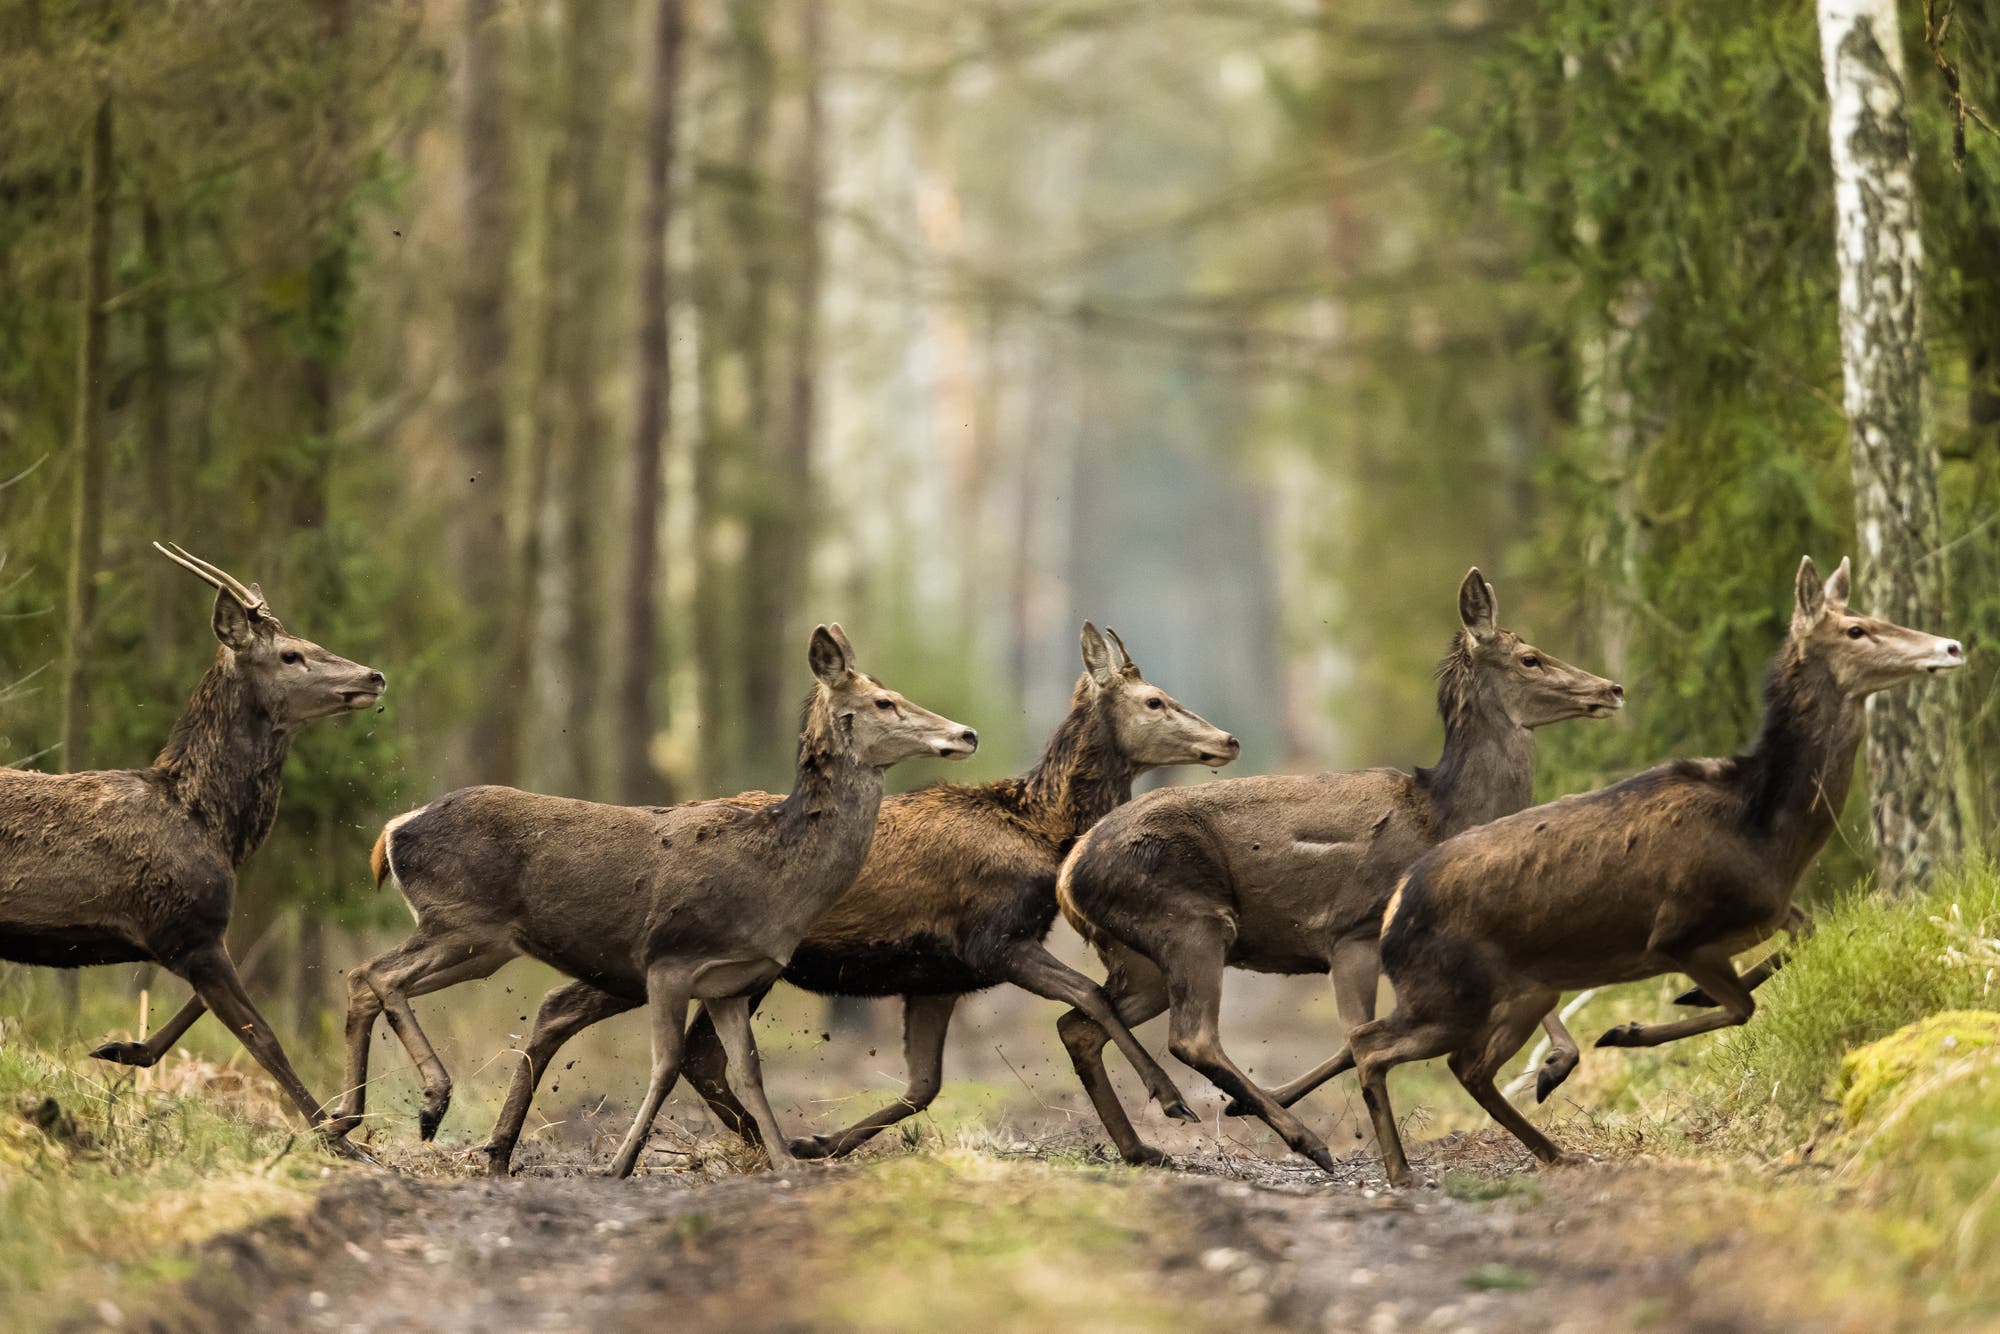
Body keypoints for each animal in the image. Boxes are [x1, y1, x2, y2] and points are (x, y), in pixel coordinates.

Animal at [7, 548, 384, 1152]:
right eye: (291, 653)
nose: (374, 675)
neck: (215, 826)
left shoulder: (192, 934)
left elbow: (205, 1011)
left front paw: (122, 1049)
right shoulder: (186, 929)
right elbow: (265, 1038)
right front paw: (339, 1135)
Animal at [338, 620, 976, 1176]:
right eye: (885, 702)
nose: (966, 733)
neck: (775, 881)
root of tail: (394, 828)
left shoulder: (728, 983)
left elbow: (748, 1073)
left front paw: (788, 1161)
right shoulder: (670, 958)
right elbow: (667, 1065)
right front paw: (619, 1166)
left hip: (481, 944)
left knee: (364, 979)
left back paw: (347, 1123)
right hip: (460, 920)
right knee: (379, 973)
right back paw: (429, 1101)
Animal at [1056, 572, 1616, 1168]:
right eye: (1530, 658)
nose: (1611, 689)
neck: (1443, 814)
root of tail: (1068, 875)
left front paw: (1555, 1066)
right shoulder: (1351, 931)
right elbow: (1357, 1036)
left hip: (1140, 957)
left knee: (1082, 1024)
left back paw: (1143, 1146)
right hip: (1188, 920)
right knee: (1191, 1036)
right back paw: (1302, 1139)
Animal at [1352, 560, 1960, 1184]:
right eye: (1856, 629)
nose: (1951, 645)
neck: (1765, 829)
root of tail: (1395, 904)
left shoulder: (1771, 912)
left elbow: (1803, 936)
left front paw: (1686, 1000)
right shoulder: (1677, 933)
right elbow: (1742, 1006)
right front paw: (1630, 1031)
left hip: (1526, 990)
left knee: (1465, 1065)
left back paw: (1554, 1149)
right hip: (1450, 990)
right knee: (1370, 1043)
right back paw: (1401, 1169)